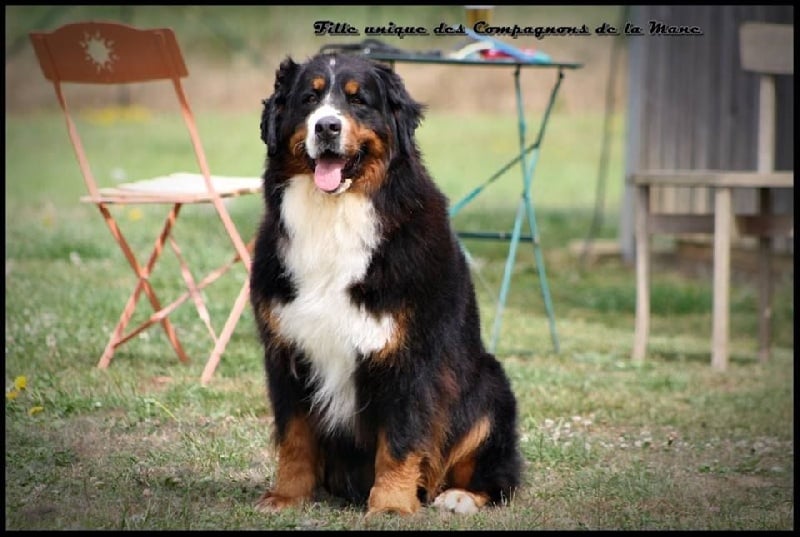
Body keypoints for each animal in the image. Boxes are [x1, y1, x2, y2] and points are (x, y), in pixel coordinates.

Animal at [250, 53, 521, 516]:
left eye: (359, 101)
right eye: (309, 99)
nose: (327, 126)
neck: (334, 218)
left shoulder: (409, 355)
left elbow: (400, 438)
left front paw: (392, 504)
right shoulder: (287, 351)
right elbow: (294, 437)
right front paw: (287, 496)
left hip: (489, 385)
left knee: (499, 475)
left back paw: (461, 496)